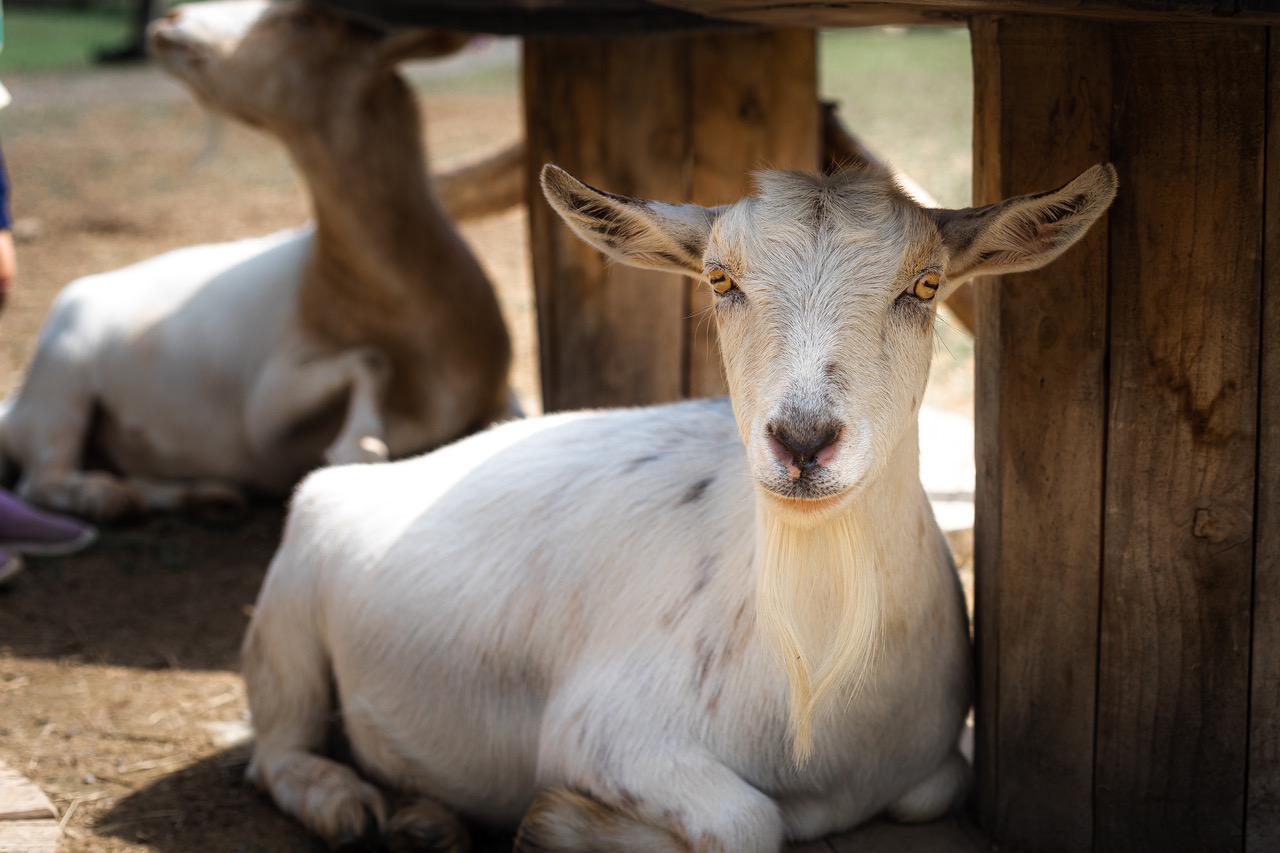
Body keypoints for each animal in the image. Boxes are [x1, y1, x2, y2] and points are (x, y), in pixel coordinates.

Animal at [0, 0, 512, 520]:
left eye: (302, 20)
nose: (171, 18)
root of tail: (14, 411)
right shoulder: (267, 409)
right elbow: (368, 360)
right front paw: (359, 447)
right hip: (63, 377)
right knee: (43, 477)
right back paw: (105, 495)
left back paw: (203, 494)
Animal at [242, 159, 1117, 852]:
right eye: (721, 279)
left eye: (926, 283)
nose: (803, 440)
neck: (813, 687)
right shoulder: (606, 731)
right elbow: (748, 821)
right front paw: (553, 823)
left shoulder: (929, 760)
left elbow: (933, 788)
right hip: (286, 615)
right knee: (274, 747)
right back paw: (349, 805)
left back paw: (424, 820)